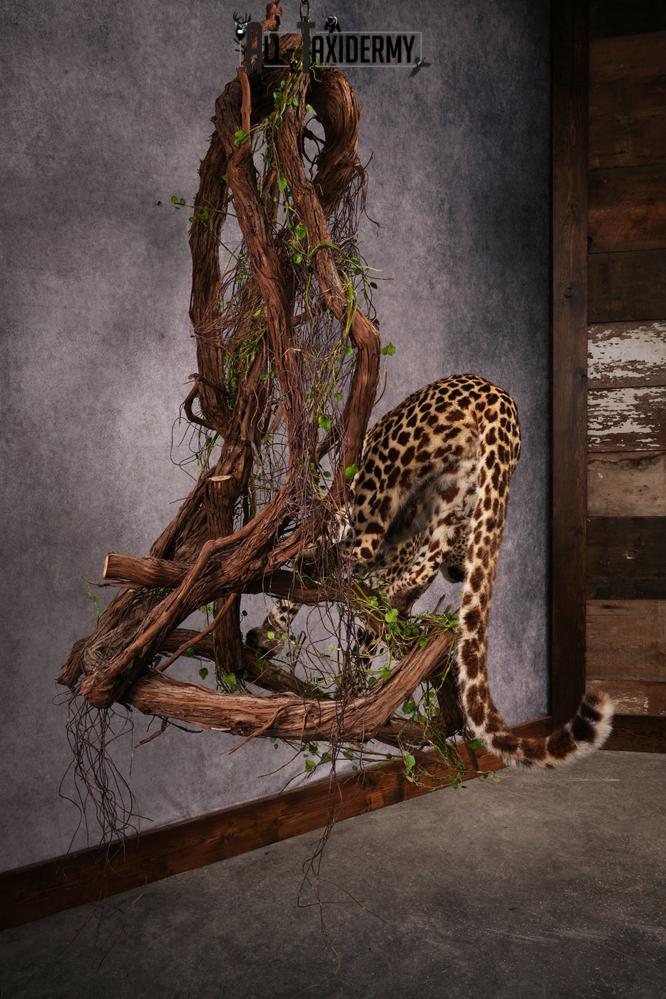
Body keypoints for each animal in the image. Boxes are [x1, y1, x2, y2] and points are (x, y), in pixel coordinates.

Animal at [248, 373, 614, 767]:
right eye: (462, 552)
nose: (460, 573)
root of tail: (497, 397)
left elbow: (310, 595)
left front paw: (271, 637)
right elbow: (360, 633)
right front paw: (348, 691)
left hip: (383, 477)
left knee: (363, 545)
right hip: (456, 492)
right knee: (417, 562)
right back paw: (397, 601)